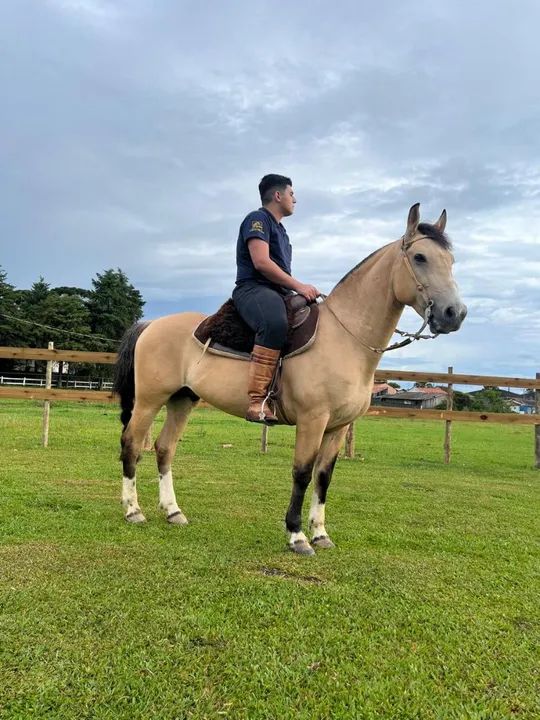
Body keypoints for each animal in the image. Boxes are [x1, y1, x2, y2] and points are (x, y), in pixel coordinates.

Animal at [114, 204, 467, 555]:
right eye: (420, 257)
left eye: (451, 261)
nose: (455, 314)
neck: (344, 338)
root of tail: (150, 324)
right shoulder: (313, 420)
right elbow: (302, 473)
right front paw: (297, 536)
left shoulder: (338, 428)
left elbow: (323, 477)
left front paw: (320, 533)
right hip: (149, 400)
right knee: (131, 443)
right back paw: (133, 511)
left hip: (182, 400)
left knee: (164, 448)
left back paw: (173, 512)